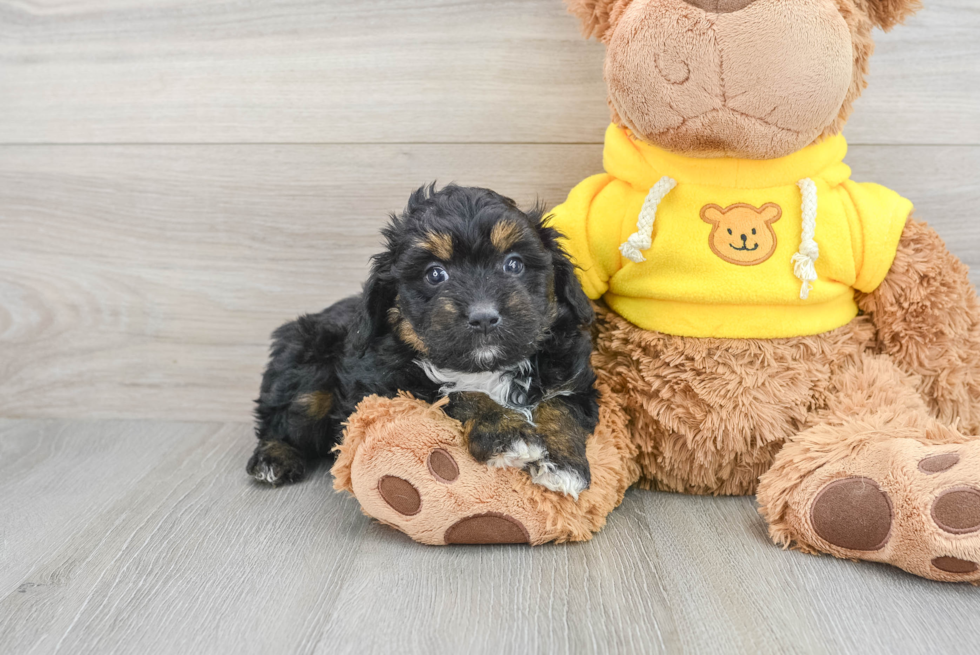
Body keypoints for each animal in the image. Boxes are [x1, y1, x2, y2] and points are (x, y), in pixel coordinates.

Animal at [249, 183, 596, 498]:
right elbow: (459, 394)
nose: (484, 316)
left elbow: (560, 406)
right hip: (307, 363)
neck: (486, 368)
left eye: (513, 264)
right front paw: (508, 434)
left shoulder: (573, 376)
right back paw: (273, 458)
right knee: (282, 417)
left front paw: (563, 464)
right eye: (435, 274)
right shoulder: (393, 388)